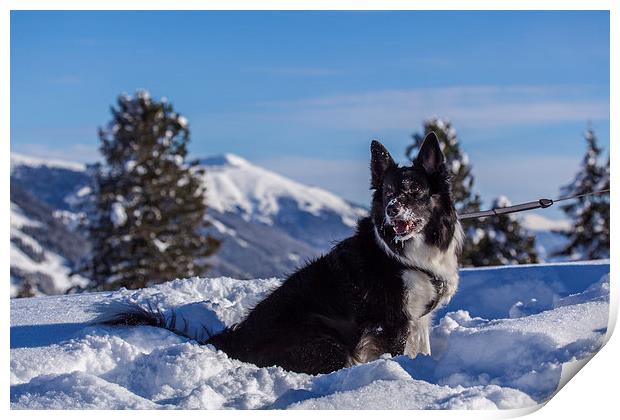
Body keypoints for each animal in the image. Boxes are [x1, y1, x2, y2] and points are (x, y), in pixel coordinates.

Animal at [97, 133, 462, 376]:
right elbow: (401, 354)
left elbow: (422, 347)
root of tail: (232, 340)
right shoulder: (393, 321)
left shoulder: (418, 319)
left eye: (414, 190)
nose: (391, 209)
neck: (406, 253)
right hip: (325, 340)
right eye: (387, 192)